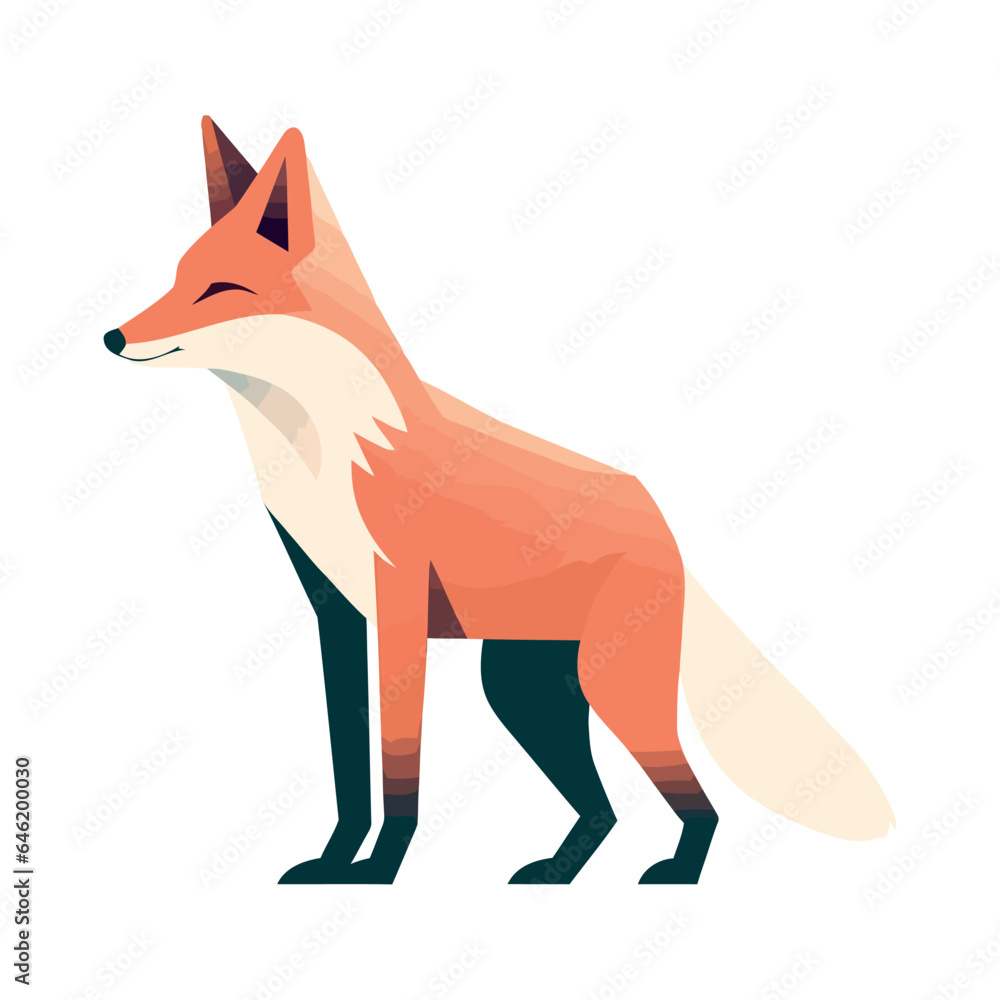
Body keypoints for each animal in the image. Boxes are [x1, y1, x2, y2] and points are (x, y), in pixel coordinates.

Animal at [104, 118, 893, 884]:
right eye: (176, 279)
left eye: (218, 289)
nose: (113, 336)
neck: (323, 444)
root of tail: (659, 519)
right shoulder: (337, 615)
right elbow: (348, 769)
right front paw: (334, 861)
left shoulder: (398, 612)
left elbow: (397, 766)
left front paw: (380, 869)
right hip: (519, 690)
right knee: (604, 808)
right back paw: (557, 873)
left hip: (606, 689)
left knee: (696, 799)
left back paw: (677, 871)